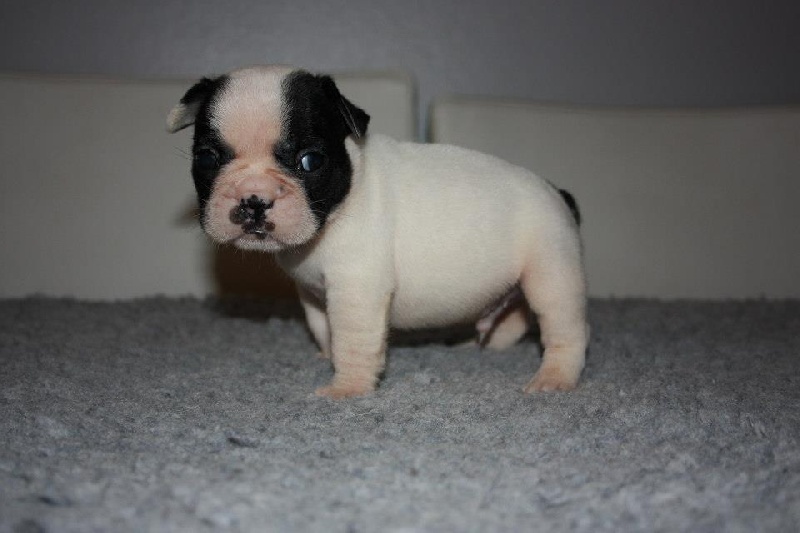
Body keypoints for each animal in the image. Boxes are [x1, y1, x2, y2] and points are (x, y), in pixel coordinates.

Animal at [167, 65, 589, 398]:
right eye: (207, 159)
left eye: (309, 161)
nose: (254, 199)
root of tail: (556, 192)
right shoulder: (314, 293)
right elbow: (324, 329)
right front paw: (327, 355)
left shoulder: (357, 291)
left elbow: (352, 340)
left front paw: (347, 387)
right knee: (512, 317)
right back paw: (479, 347)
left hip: (551, 271)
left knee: (565, 328)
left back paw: (553, 378)